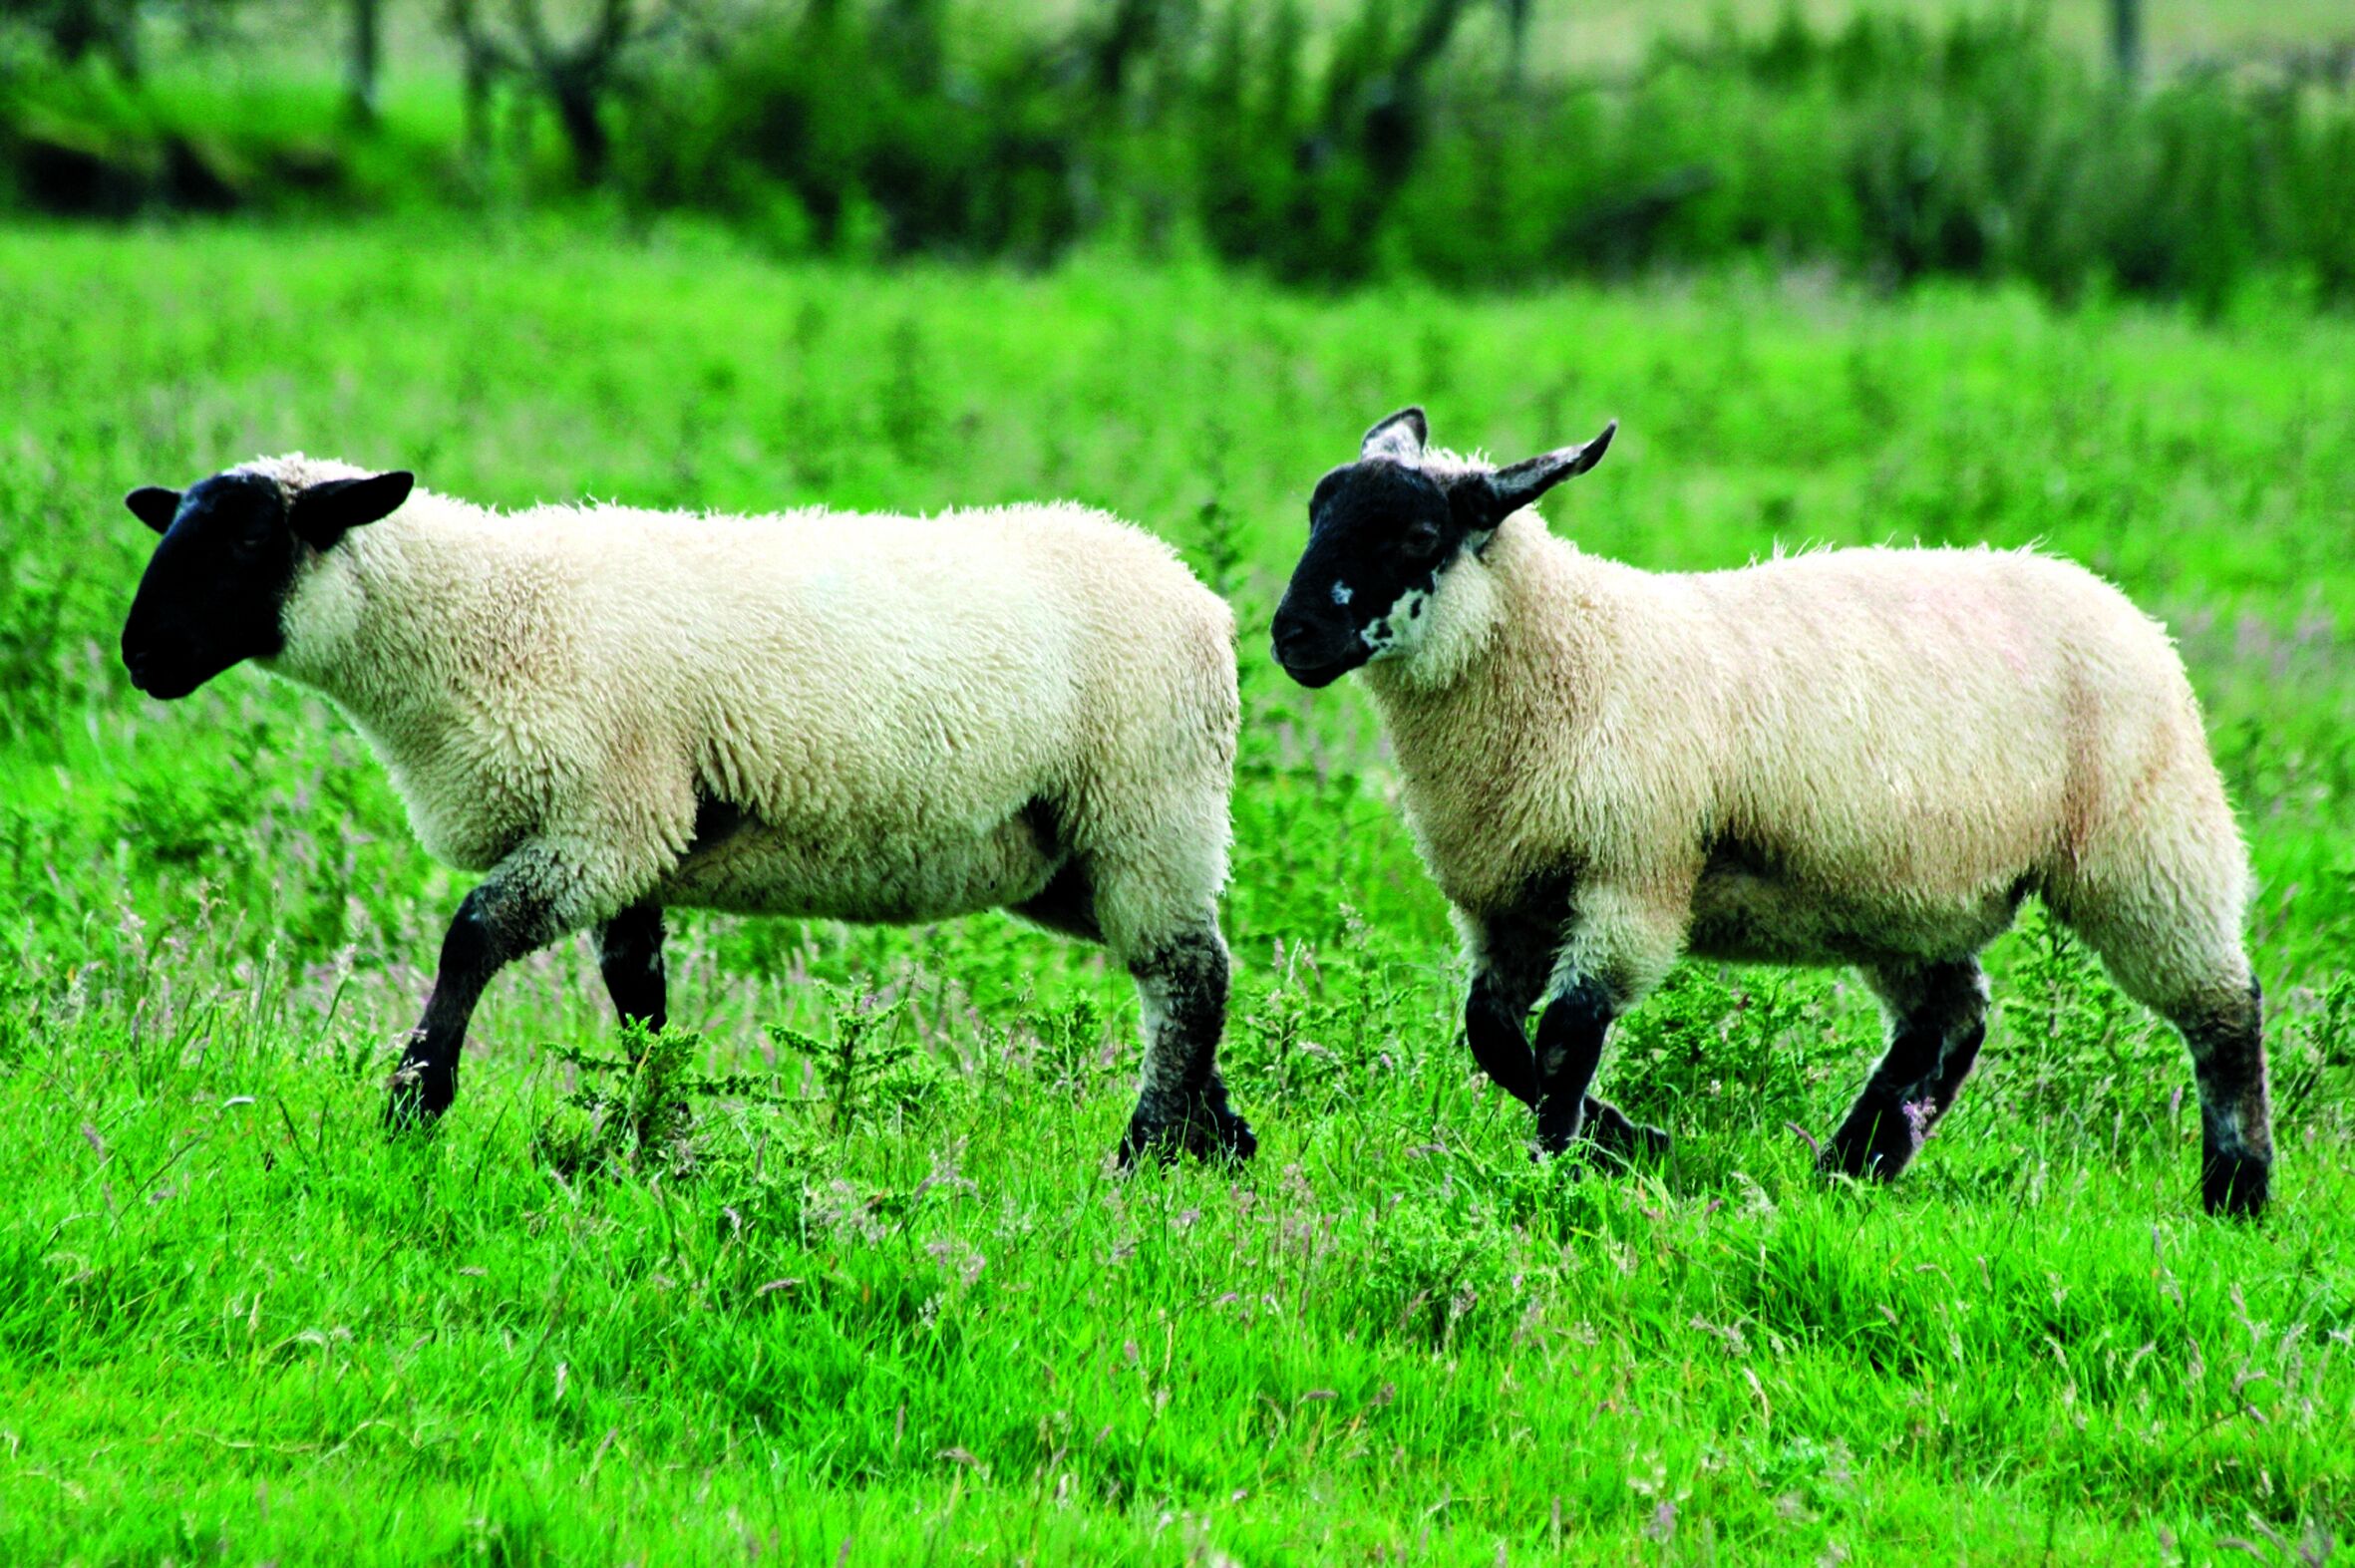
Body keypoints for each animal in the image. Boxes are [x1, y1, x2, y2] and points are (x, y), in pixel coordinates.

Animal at [118, 455, 1254, 1165]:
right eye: (172, 527)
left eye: (250, 543)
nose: (140, 657)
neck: (481, 618)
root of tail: (1197, 594)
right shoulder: (633, 845)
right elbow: (639, 998)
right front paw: (652, 1130)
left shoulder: (606, 818)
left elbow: (470, 937)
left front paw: (416, 1099)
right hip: (1067, 855)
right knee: (1189, 970)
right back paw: (1219, 1137)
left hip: (1148, 805)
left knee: (1186, 975)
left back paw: (1146, 1153)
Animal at [1270, 407, 2271, 1217]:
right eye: (1315, 510)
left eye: (1416, 534)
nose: (1292, 636)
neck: (1572, 649)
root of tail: (2113, 601)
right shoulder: (1506, 901)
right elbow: (1494, 1041)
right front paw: (1628, 1139)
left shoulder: (1634, 874)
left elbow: (1565, 1039)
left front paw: (1560, 1164)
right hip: (1906, 895)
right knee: (1949, 1021)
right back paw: (1854, 1164)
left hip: (2150, 844)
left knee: (2224, 1009)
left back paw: (2237, 1192)